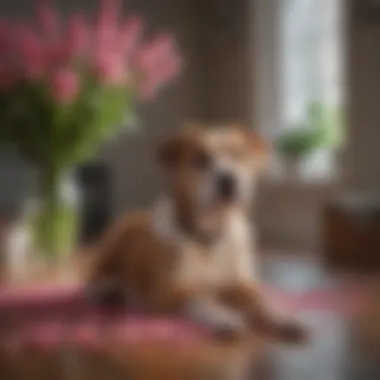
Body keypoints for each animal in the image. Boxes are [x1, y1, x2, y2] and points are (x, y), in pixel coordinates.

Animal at [86, 124, 306, 342]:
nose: (228, 179)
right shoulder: (168, 292)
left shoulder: (240, 284)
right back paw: (108, 292)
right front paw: (223, 317)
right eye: (200, 158)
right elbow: (199, 298)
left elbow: (260, 301)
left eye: (239, 154)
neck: (209, 236)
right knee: (97, 279)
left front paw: (282, 317)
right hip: (112, 246)